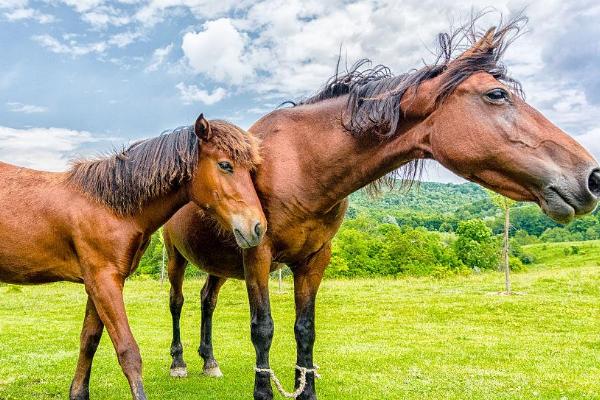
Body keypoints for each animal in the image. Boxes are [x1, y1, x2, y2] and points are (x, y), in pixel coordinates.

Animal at [0, 113, 264, 400]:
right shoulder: (104, 282)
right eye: (225, 165)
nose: (257, 227)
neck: (109, 206)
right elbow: (128, 351)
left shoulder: (96, 284)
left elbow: (89, 341)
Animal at [163, 16, 600, 400]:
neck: (300, 163)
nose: (592, 176)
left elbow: (305, 330)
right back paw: (180, 363)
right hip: (176, 256)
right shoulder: (258, 253)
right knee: (178, 302)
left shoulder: (314, 259)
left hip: (220, 263)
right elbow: (263, 329)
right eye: (497, 95)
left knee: (207, 300)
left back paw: (209, 361)